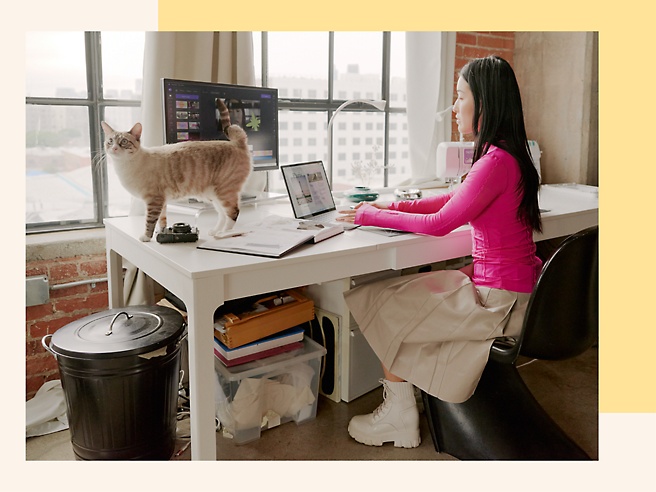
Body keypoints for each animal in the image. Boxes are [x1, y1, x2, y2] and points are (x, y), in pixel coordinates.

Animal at [102, 97, 251, 241]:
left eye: (124, 142)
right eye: (110, 141)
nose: (114, 148)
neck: (124, 166)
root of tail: (236, 143)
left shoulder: (153, 200)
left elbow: (149, 221)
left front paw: (146, 237)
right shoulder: (161, 201)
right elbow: (162, 220)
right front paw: (162, 233)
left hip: (224, 192)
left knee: (233, 213)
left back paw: (223, 233)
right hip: (214, 195)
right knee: (222, 214)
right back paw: (215, 231)